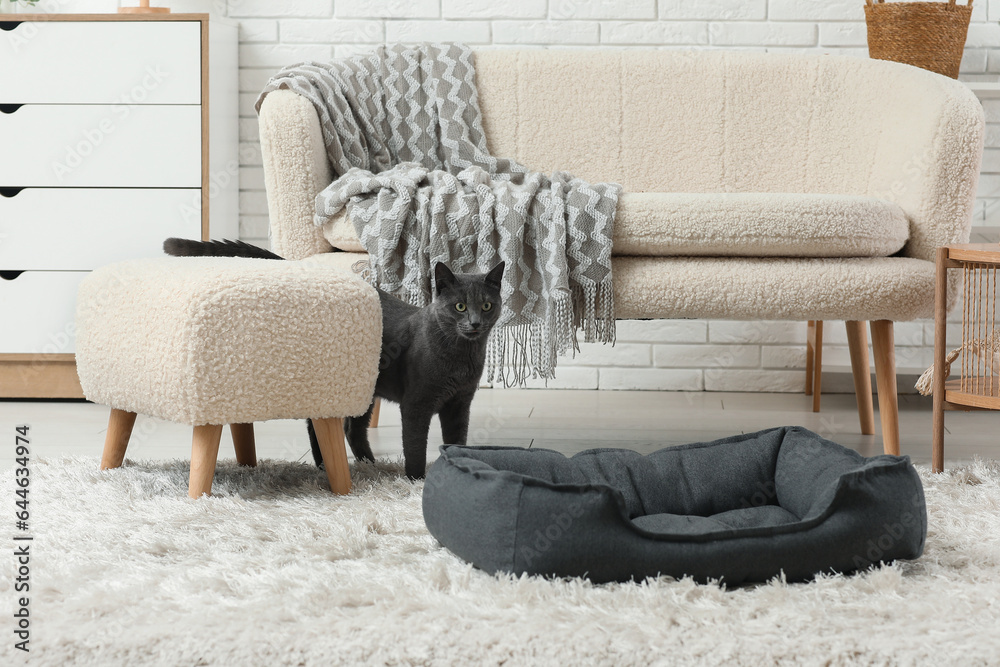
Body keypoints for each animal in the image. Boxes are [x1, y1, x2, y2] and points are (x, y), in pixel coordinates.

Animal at [169, 240, 508, 480]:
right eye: (460, 306)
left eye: (487, 305)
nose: (475, 322)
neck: (460, 358)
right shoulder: (417, 404)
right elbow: (414, 443)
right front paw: (415, 479)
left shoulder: (460, 404)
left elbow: (457, 439)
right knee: (319, 426)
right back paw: (325, 466)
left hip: (363, 389)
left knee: (351, 428)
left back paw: (370, 463)